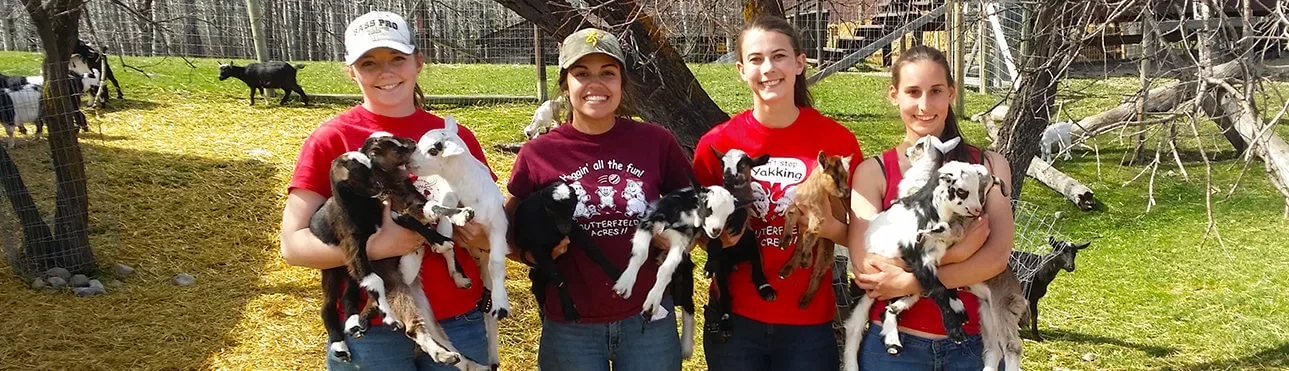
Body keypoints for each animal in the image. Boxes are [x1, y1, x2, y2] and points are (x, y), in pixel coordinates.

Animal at [510, 181, 621, 322]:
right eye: (550, 209)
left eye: (572, 207)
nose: (564, 228)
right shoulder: (538, 248)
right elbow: (558, 276)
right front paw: (569, 310)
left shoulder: (573, 229)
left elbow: (592, 250)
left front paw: (616, 273)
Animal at [768, 150, 850, 306]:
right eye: (834, 176)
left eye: (846, 176)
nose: (847, 191)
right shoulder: (797, 208)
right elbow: (789, 215)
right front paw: (784, 242)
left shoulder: (818, 217)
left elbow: (810, 234)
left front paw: (806, 261)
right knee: (799, 248)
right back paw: (786, 270)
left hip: (827, 244)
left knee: (820, 269)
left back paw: (805, 299)